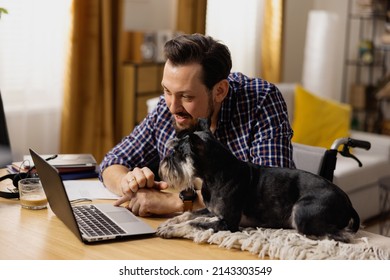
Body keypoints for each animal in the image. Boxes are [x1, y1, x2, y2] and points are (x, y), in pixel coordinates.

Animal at [157, 118, 362, 243]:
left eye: (179, 153)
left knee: (336, 234)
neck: (216, 173)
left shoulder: (228, 223)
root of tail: (349, 204)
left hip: (301, 212)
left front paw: (171, 229)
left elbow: (195, 223)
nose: (163, 164)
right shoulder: (211, 210)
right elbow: (190, 214)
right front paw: (171, 221)